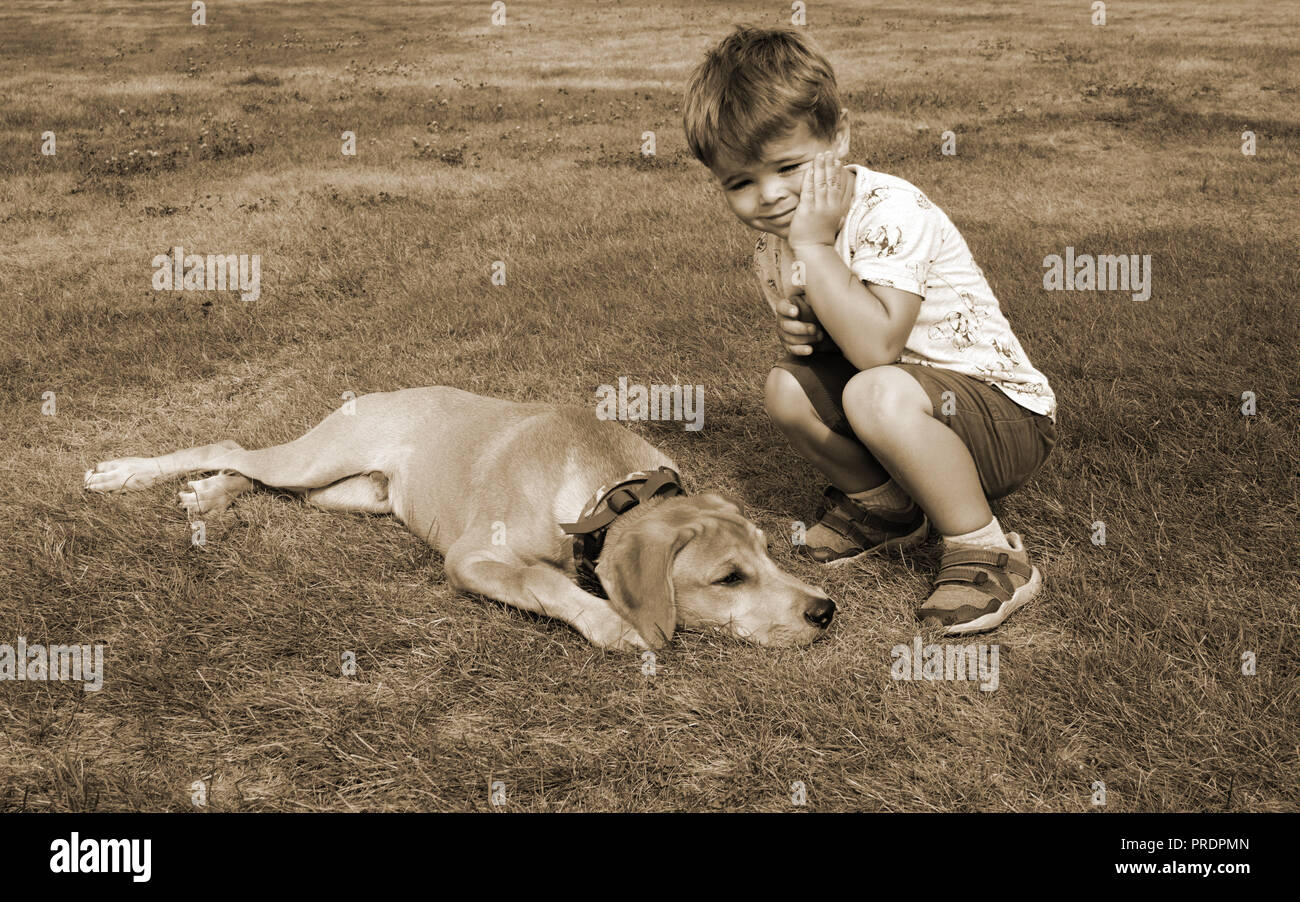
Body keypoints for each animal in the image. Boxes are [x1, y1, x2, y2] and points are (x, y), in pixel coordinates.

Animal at [83, 387, 832, 649]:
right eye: (729, 578)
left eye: (769, 553)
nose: (826, 611)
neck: (604, 490)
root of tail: (374, 393)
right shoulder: (472, 557)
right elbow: (546, 581)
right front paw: (611, 624)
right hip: (321, 458)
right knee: (232, 447)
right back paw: (127, 474)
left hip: (348, 492)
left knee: (253, 476)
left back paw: (212, 495)